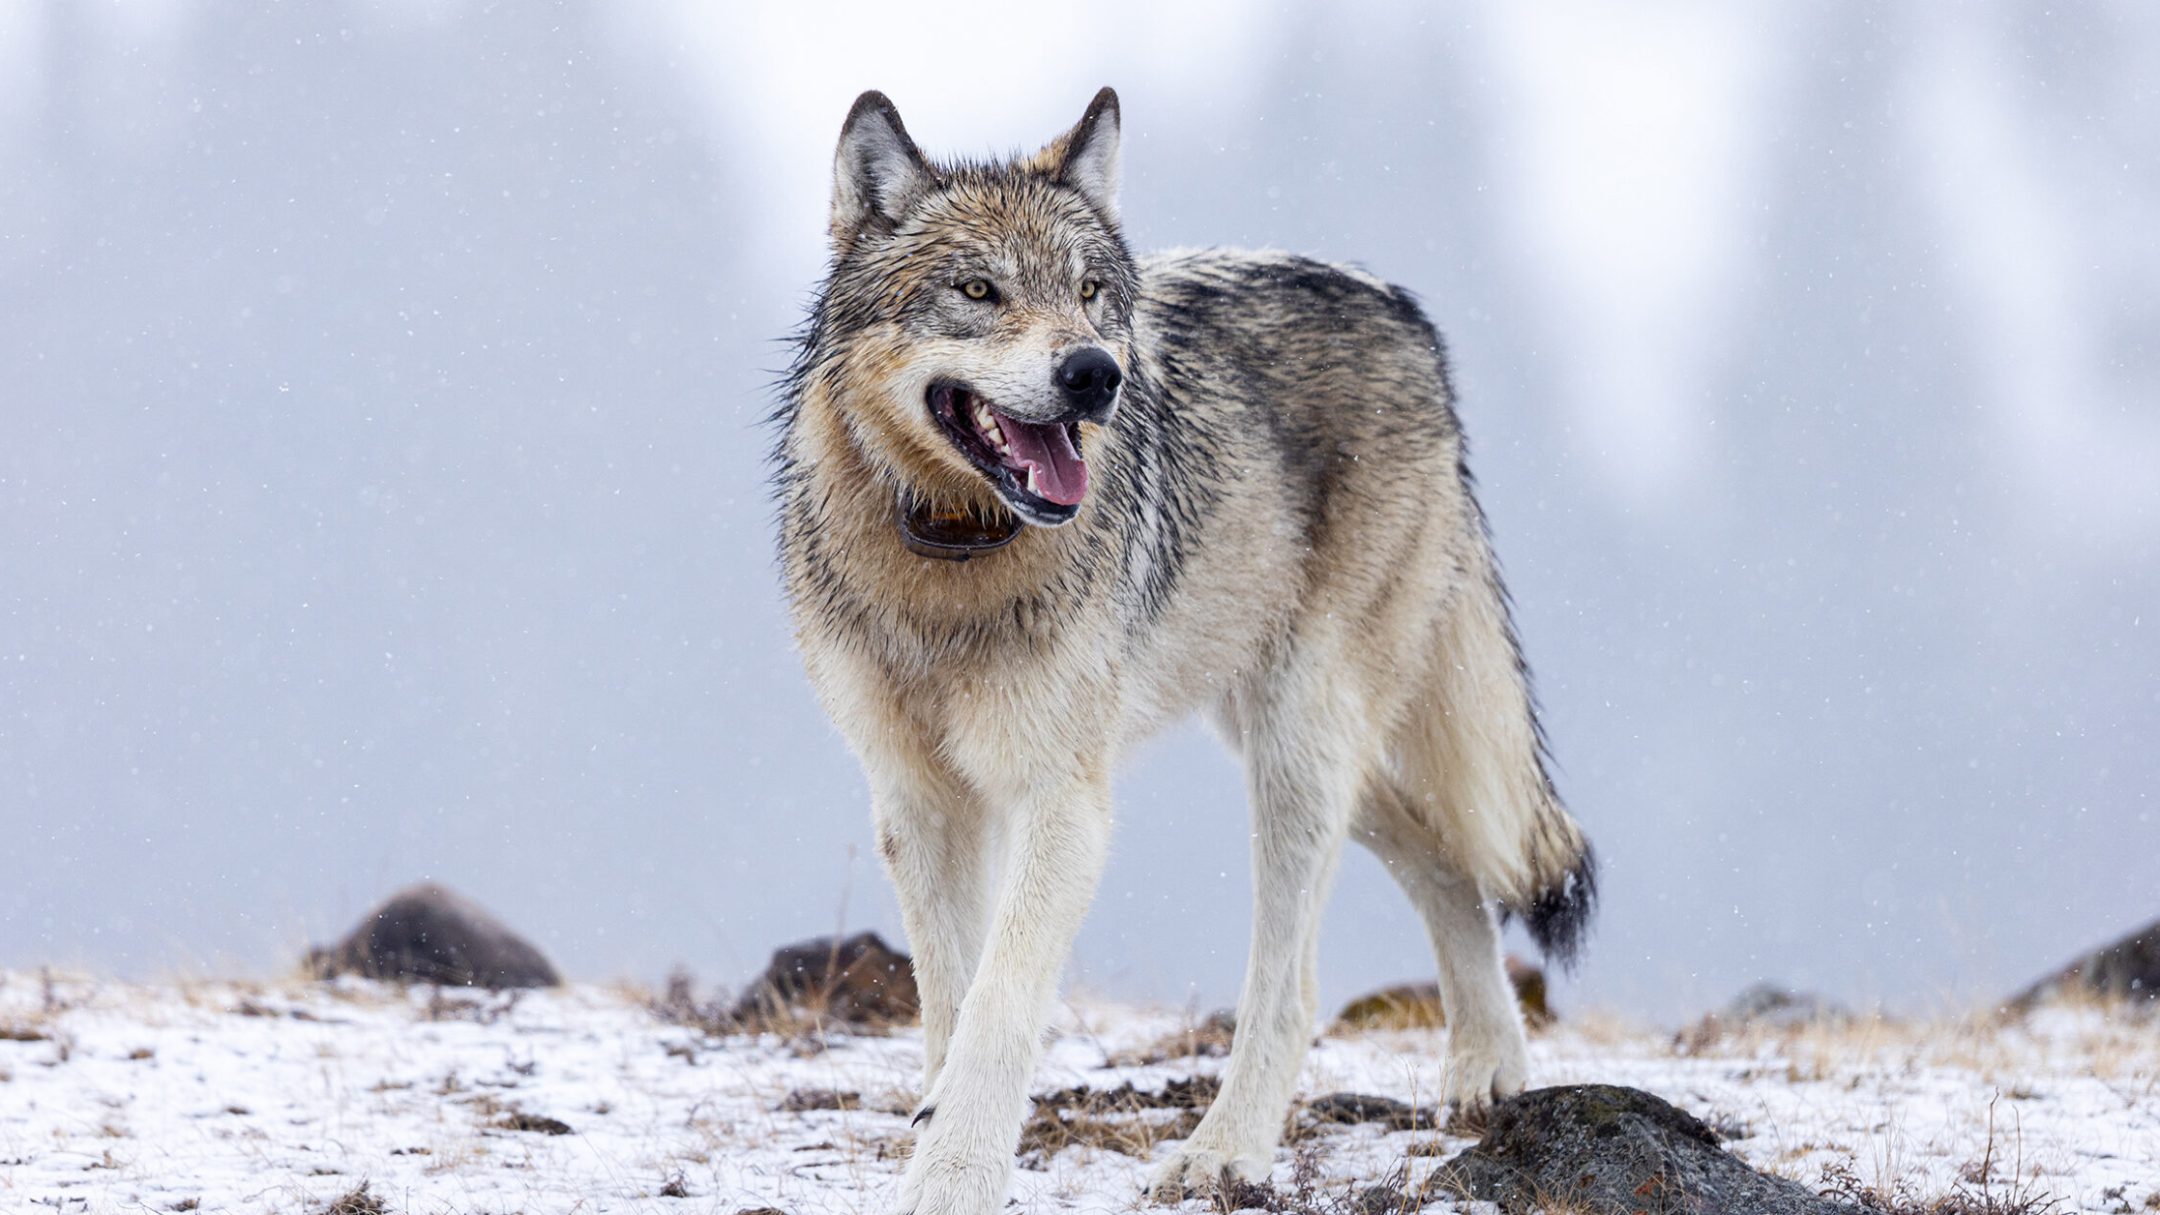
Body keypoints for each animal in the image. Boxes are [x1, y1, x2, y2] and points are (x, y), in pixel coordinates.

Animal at [772, 88, 1595, 1214]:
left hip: (1298, 745)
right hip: (1288, 741)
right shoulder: (915, 801)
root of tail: (1405, 312)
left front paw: (955, 1176)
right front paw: (938, 1128)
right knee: (1443, 856)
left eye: (1089, 293)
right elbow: (949, 994)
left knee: (1294, 980)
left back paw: (1225, 1153)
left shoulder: (1061, 800)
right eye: (979, 290)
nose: (1095, 373)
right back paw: (1488, 1069)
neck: (950, 559)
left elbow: (999, 1001)